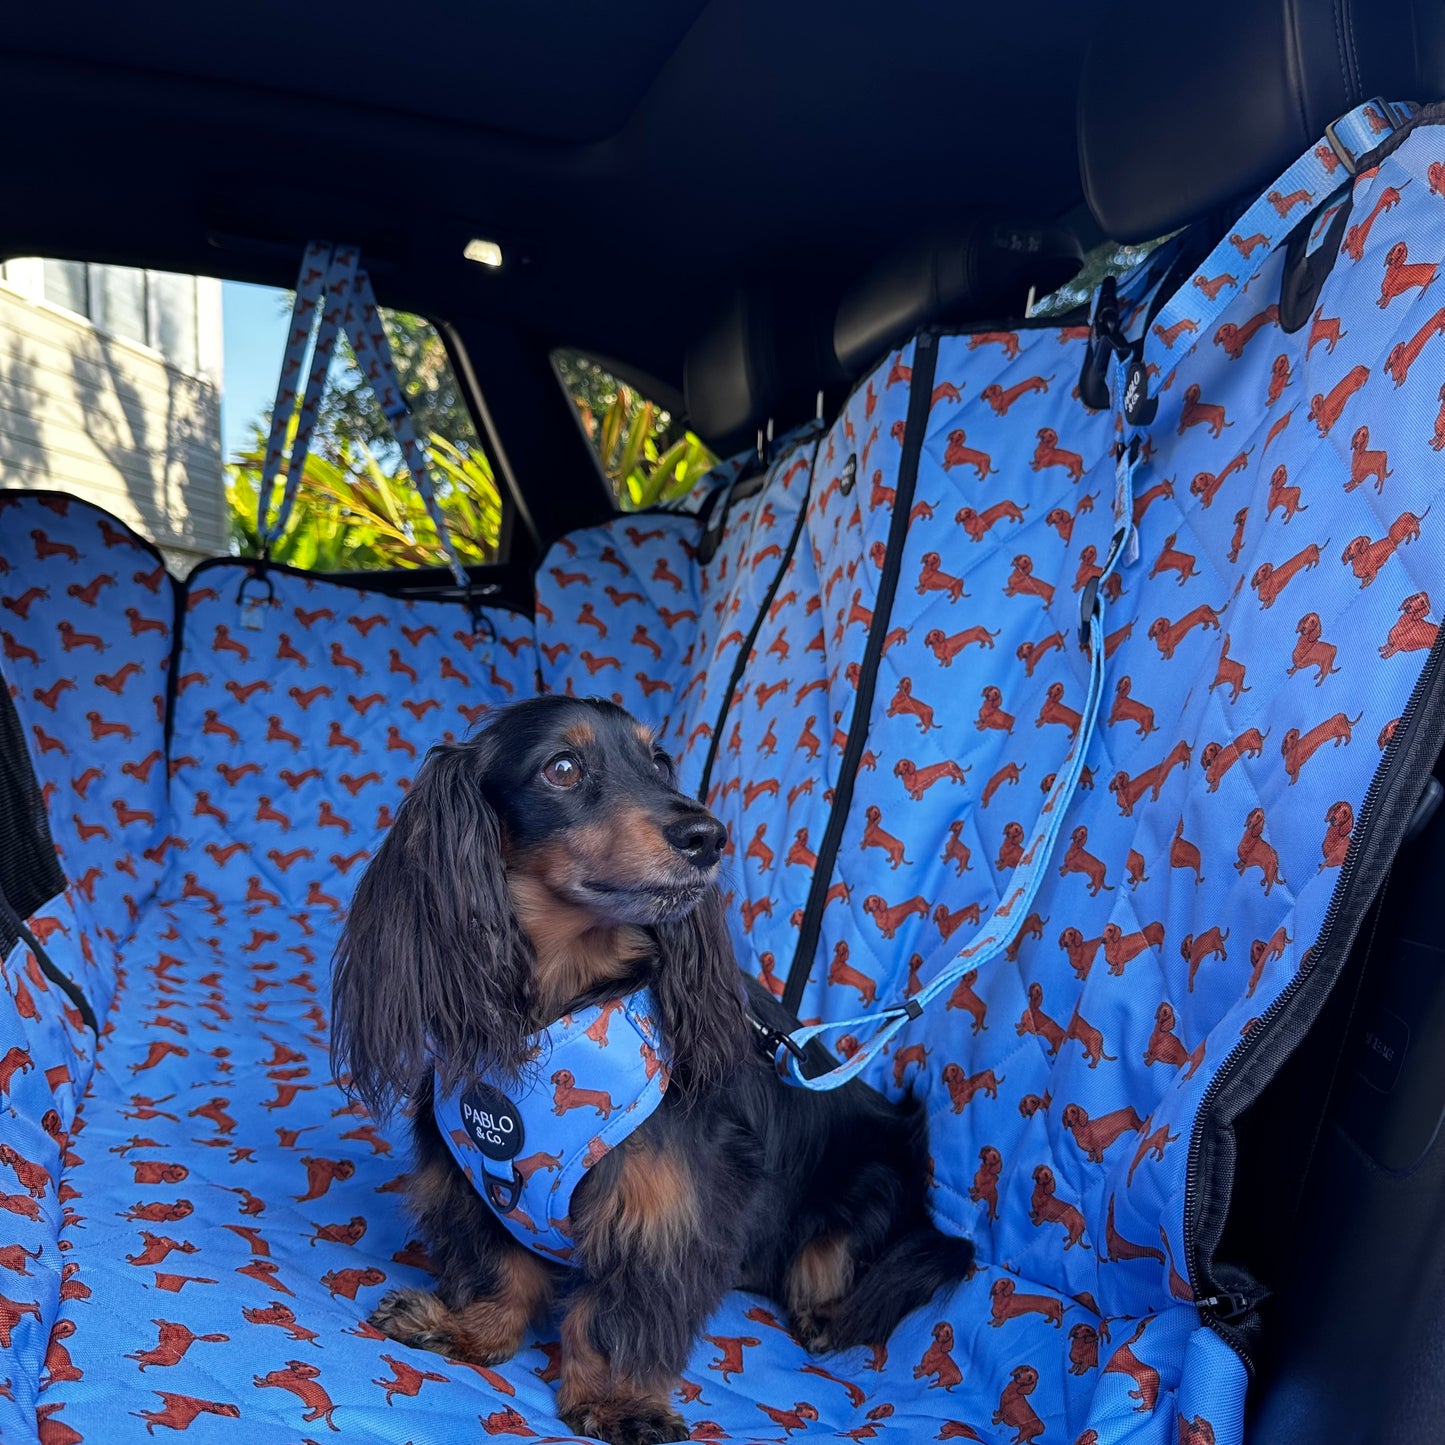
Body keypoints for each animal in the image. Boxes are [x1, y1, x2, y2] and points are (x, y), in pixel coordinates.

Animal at [335, 693, 971, 1439]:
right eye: (562, 767)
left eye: (660, 761)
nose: (707, 836)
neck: (567, 1003)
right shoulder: (474, 1175)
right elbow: (501, 1269)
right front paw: (469, 1329)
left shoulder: (663, 1209)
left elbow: (612, 1317)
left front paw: (617, 1401)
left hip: (873, 1180)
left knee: (837, 1261)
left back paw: (823, 1311)